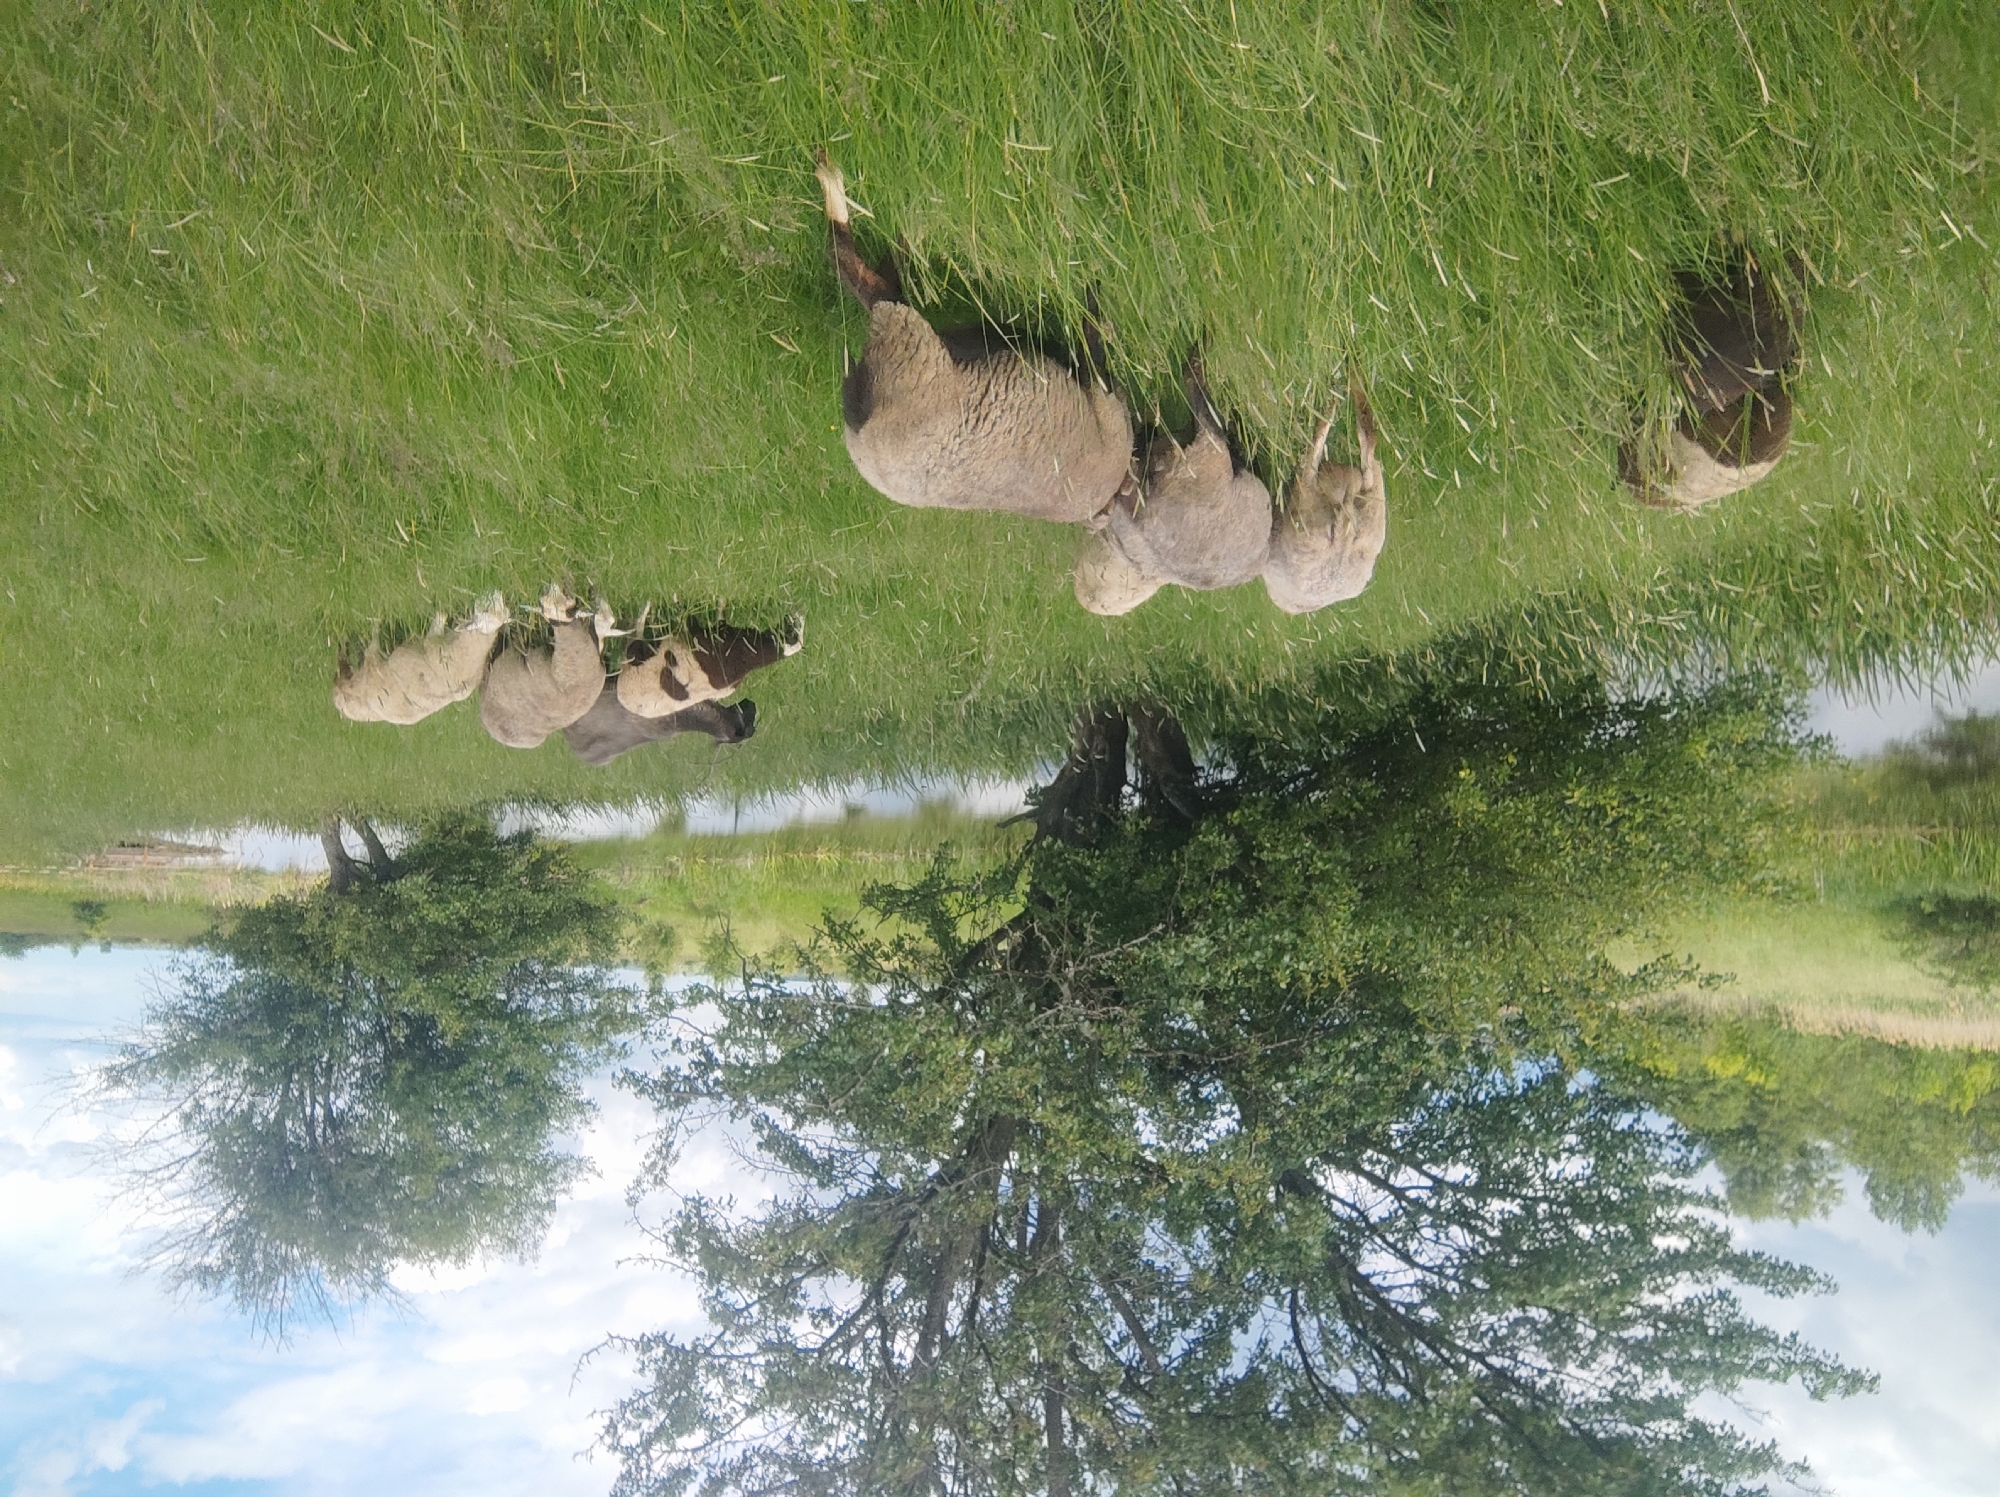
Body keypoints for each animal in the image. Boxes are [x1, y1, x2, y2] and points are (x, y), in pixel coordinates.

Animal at [332, 593, 507, 725]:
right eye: (489, 610)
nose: (497, 593)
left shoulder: (430, 643)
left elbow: (437, 623)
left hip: (370, 671)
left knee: (367, 652)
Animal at [815, 150, 1135, 525]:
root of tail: (862, 423)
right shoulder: (1098, 389)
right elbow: (1092, 343)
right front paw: (1094, 294)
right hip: (910, 339)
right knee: (850, 266)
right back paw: (838, 187)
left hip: (908, 339)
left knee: (870, 279)